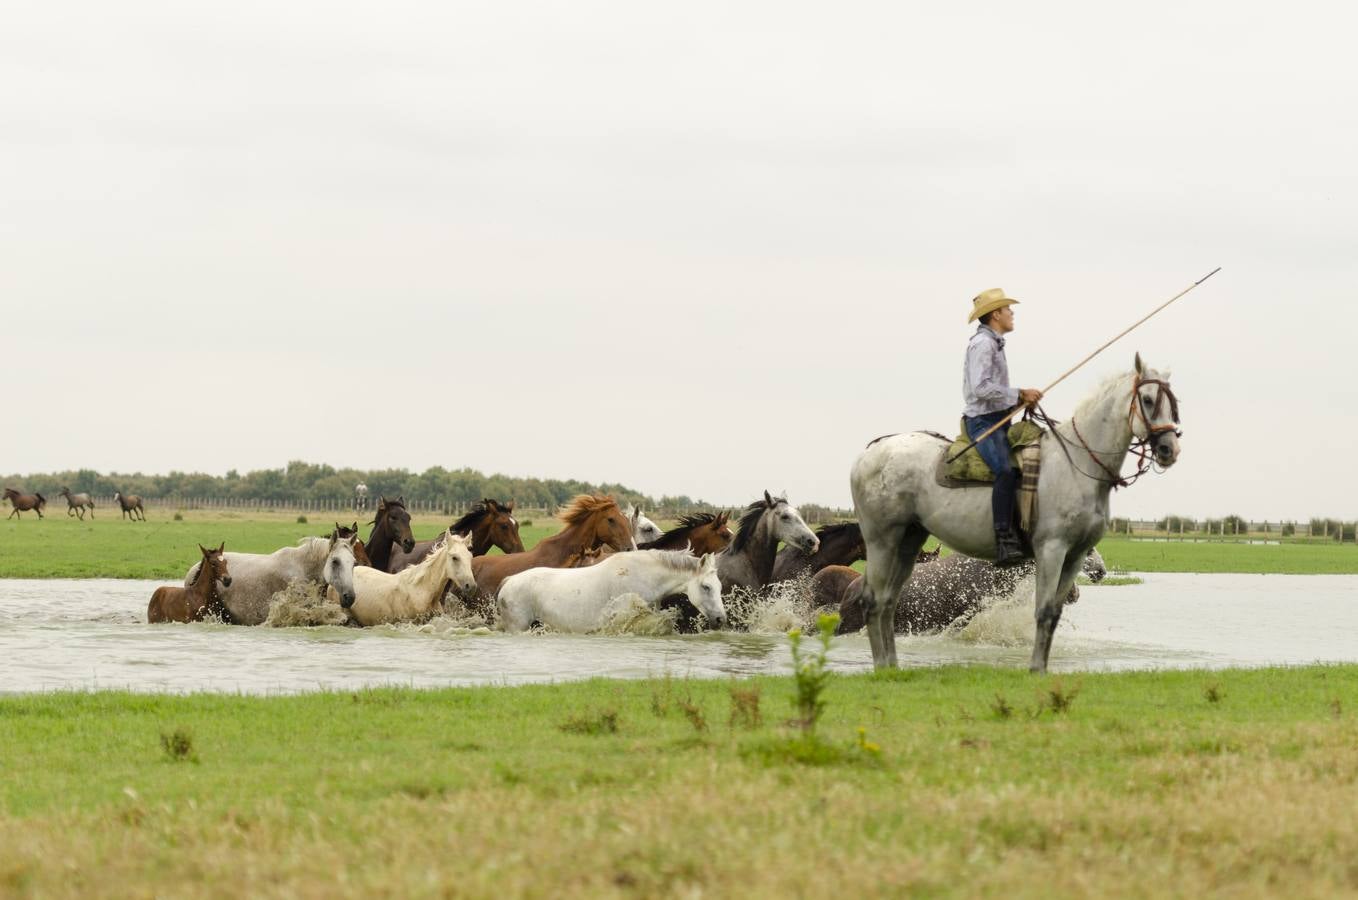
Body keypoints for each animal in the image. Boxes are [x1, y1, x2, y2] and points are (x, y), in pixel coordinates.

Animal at [497, 548, 727, 632]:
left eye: (719, 587)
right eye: (706, 587)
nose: (721, 619)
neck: (643, 575)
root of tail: (508, 581)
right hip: (518, 627)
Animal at [852, 355, 1184, 673]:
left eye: (1173, 403)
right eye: (1148, 400)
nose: (1170, 449)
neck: (1077, 465)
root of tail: (868, 454)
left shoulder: (1074, 555)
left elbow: (1055, 613)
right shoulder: (1052, 549)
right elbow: (1044, 611)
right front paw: (1036, 668)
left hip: (908, 541)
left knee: (888, 602)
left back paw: (892, 665)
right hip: (882, 540)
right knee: (873, 601)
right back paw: (881, 666)